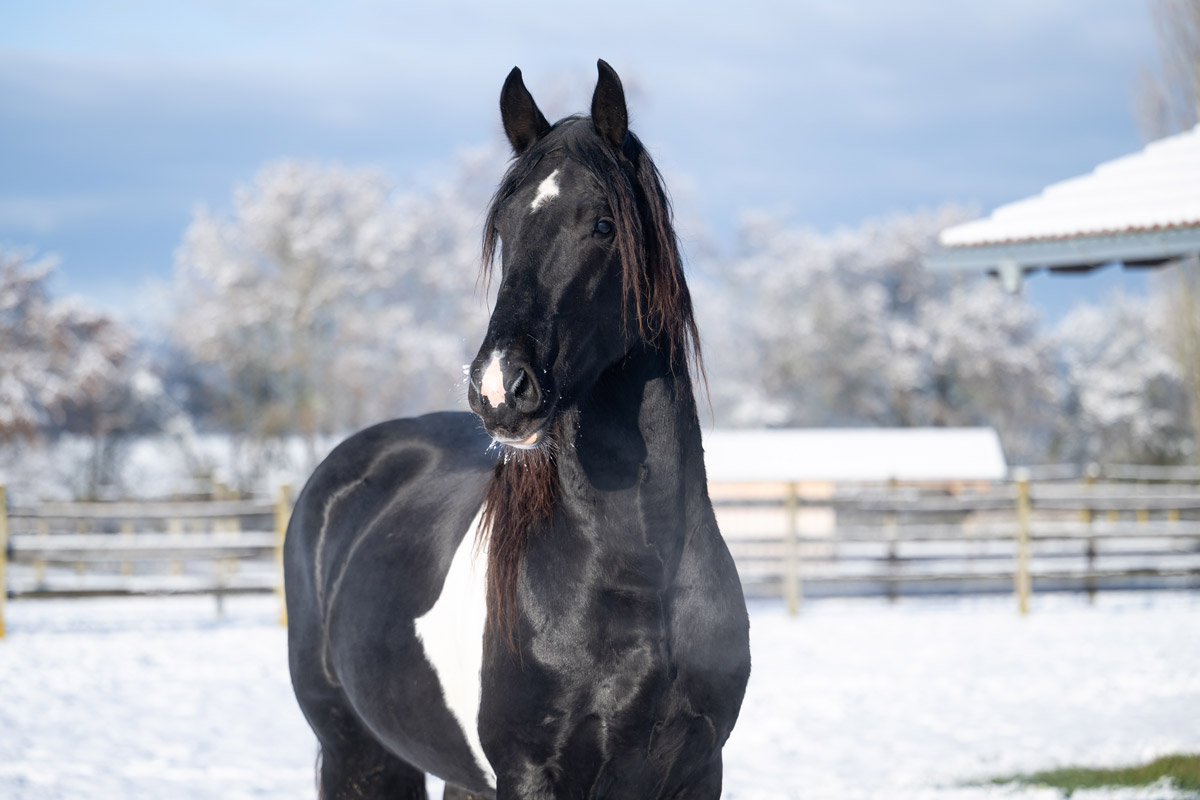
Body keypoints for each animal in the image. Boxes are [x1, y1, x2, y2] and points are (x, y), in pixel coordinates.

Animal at [284, 59, 751, 800]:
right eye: (504, 226)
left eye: (602, 224)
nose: (500, 387)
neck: (642, 572)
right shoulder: (532, 773)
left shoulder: (699, 771)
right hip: (356, 751)